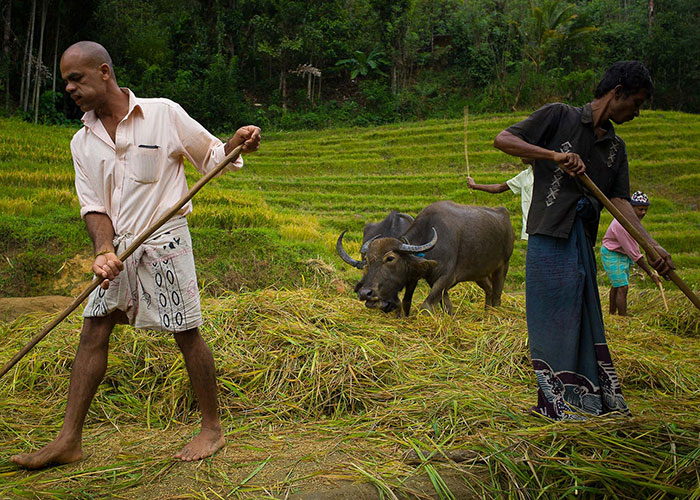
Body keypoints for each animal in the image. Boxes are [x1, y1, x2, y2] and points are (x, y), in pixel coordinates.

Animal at [336, 201, 512, 314]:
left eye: (390, 258)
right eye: (367, 261)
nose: (365, 293)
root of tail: (503, 213)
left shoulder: (446, 277)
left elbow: (426, 306)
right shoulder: (432, 279)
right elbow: (445, 306)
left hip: (503, 265)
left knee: (497, 293)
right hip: (479, 272)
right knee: (489, 288)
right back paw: (487, 312)